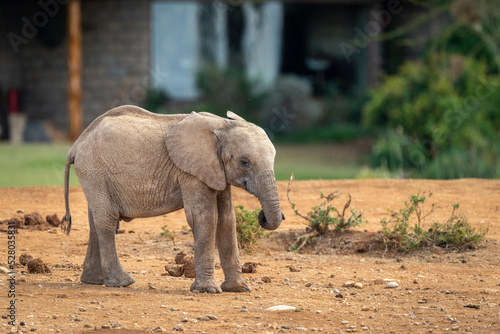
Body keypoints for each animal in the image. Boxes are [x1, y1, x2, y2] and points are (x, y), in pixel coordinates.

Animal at [60, 105, 284, 294]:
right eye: (244, 162)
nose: (264, 216)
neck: (221, 125)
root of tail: (76, 145)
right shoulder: (190, 172)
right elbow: (204, 217)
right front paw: (207, 291)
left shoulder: (216, 172)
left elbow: (227, 219)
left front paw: (238, 289)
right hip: (93, 170)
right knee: (107, 219)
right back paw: (122, 283)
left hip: (94, 175)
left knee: (95, 221)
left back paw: (93, 281)